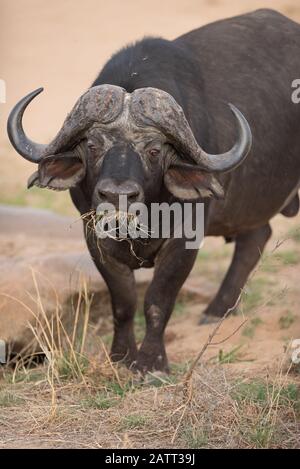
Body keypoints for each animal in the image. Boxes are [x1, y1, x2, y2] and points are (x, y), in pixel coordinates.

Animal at [7, 8, 300, 372]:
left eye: (154, 150)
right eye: (92, 145)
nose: (117, 195)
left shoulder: (185, 239)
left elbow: (158, 301)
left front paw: (152, 363)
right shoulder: (95, 237)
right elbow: (124, 303)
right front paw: (121, 357)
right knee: (255, 237)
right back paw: (217, 311)